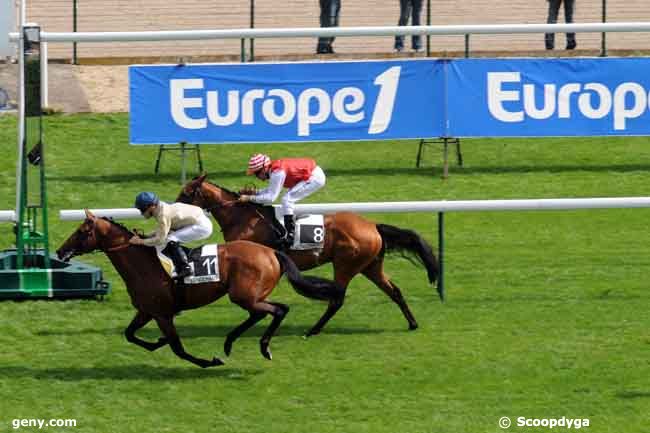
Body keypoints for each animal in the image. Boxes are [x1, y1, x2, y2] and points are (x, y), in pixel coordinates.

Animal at [55, 209, 344, 368]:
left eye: (81, 232)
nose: (60, 251)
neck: (142, 264)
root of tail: (271, 252)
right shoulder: (147, 311)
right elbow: (130, 335)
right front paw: (157, 342)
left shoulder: (162, 314)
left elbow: (178, 349)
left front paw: (209, 361)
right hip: (247, 296)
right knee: (262, 313)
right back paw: (230, 342)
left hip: (245, 295)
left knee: (278, 310)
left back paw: (262, 347)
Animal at [176, 174, 440, 336]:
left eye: (187, 193)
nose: (173, 208)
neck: (242, 217)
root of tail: (373, 226)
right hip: (370, 266)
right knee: (394, 291)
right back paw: (412, 323)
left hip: (345, 265)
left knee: (337, 299)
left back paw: (313, 330)